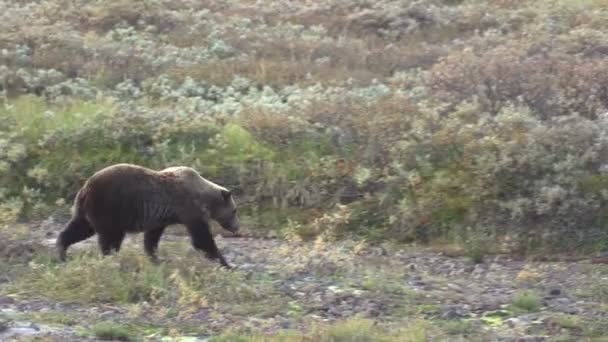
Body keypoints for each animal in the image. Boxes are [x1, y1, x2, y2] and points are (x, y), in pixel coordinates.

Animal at [55, 164, 240, 268]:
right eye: (234, 211)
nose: (237, 228)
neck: (204, 198)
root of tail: (86, 187)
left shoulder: (161, 217)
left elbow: (151, 238)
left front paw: (156, 259)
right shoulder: (189, 209)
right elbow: (202, 240)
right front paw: (226, 264)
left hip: (86, 210)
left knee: (79, 228)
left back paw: (62, 252)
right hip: (110, 207)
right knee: (111, 237)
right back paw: (111, 258)